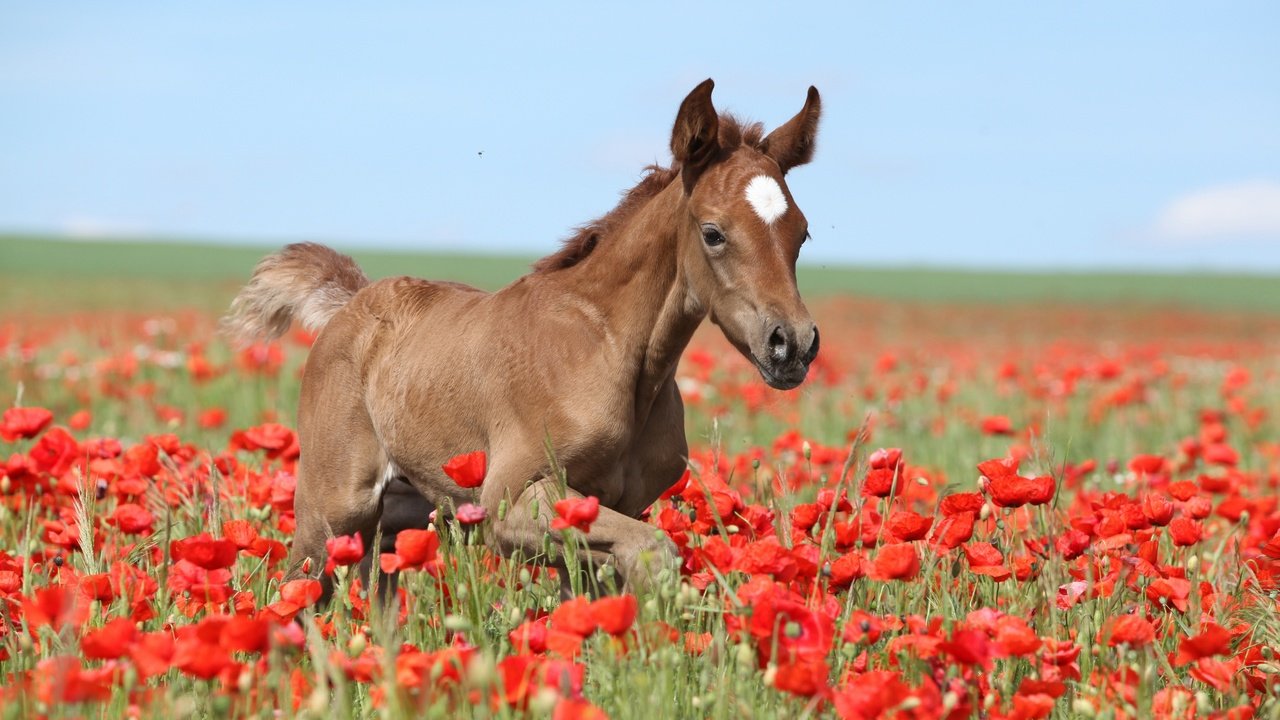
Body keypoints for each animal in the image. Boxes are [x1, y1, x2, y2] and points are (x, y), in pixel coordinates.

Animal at [225, 78, 824, 597]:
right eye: (713, 233)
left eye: (802, 232)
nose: (791, 344)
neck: (609, 352)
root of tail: (349, 305)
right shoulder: (510, 501)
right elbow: (654, 551)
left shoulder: (610, 508)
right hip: (332, 515)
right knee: (298, 591)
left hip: (403, 514)